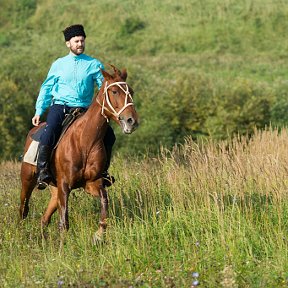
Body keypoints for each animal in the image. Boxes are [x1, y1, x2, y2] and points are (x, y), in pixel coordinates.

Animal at [19, 66, 138, 240]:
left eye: (131, 92)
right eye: (115, 91)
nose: (132, 121)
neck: (84, 142)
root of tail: (34, 130)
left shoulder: (92, 183)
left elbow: (105, 201)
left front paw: (99, 234)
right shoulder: (65, 185)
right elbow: (64, 222)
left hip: (55, 189)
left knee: (45, 218)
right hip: (28, 180)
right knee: (23, 208)